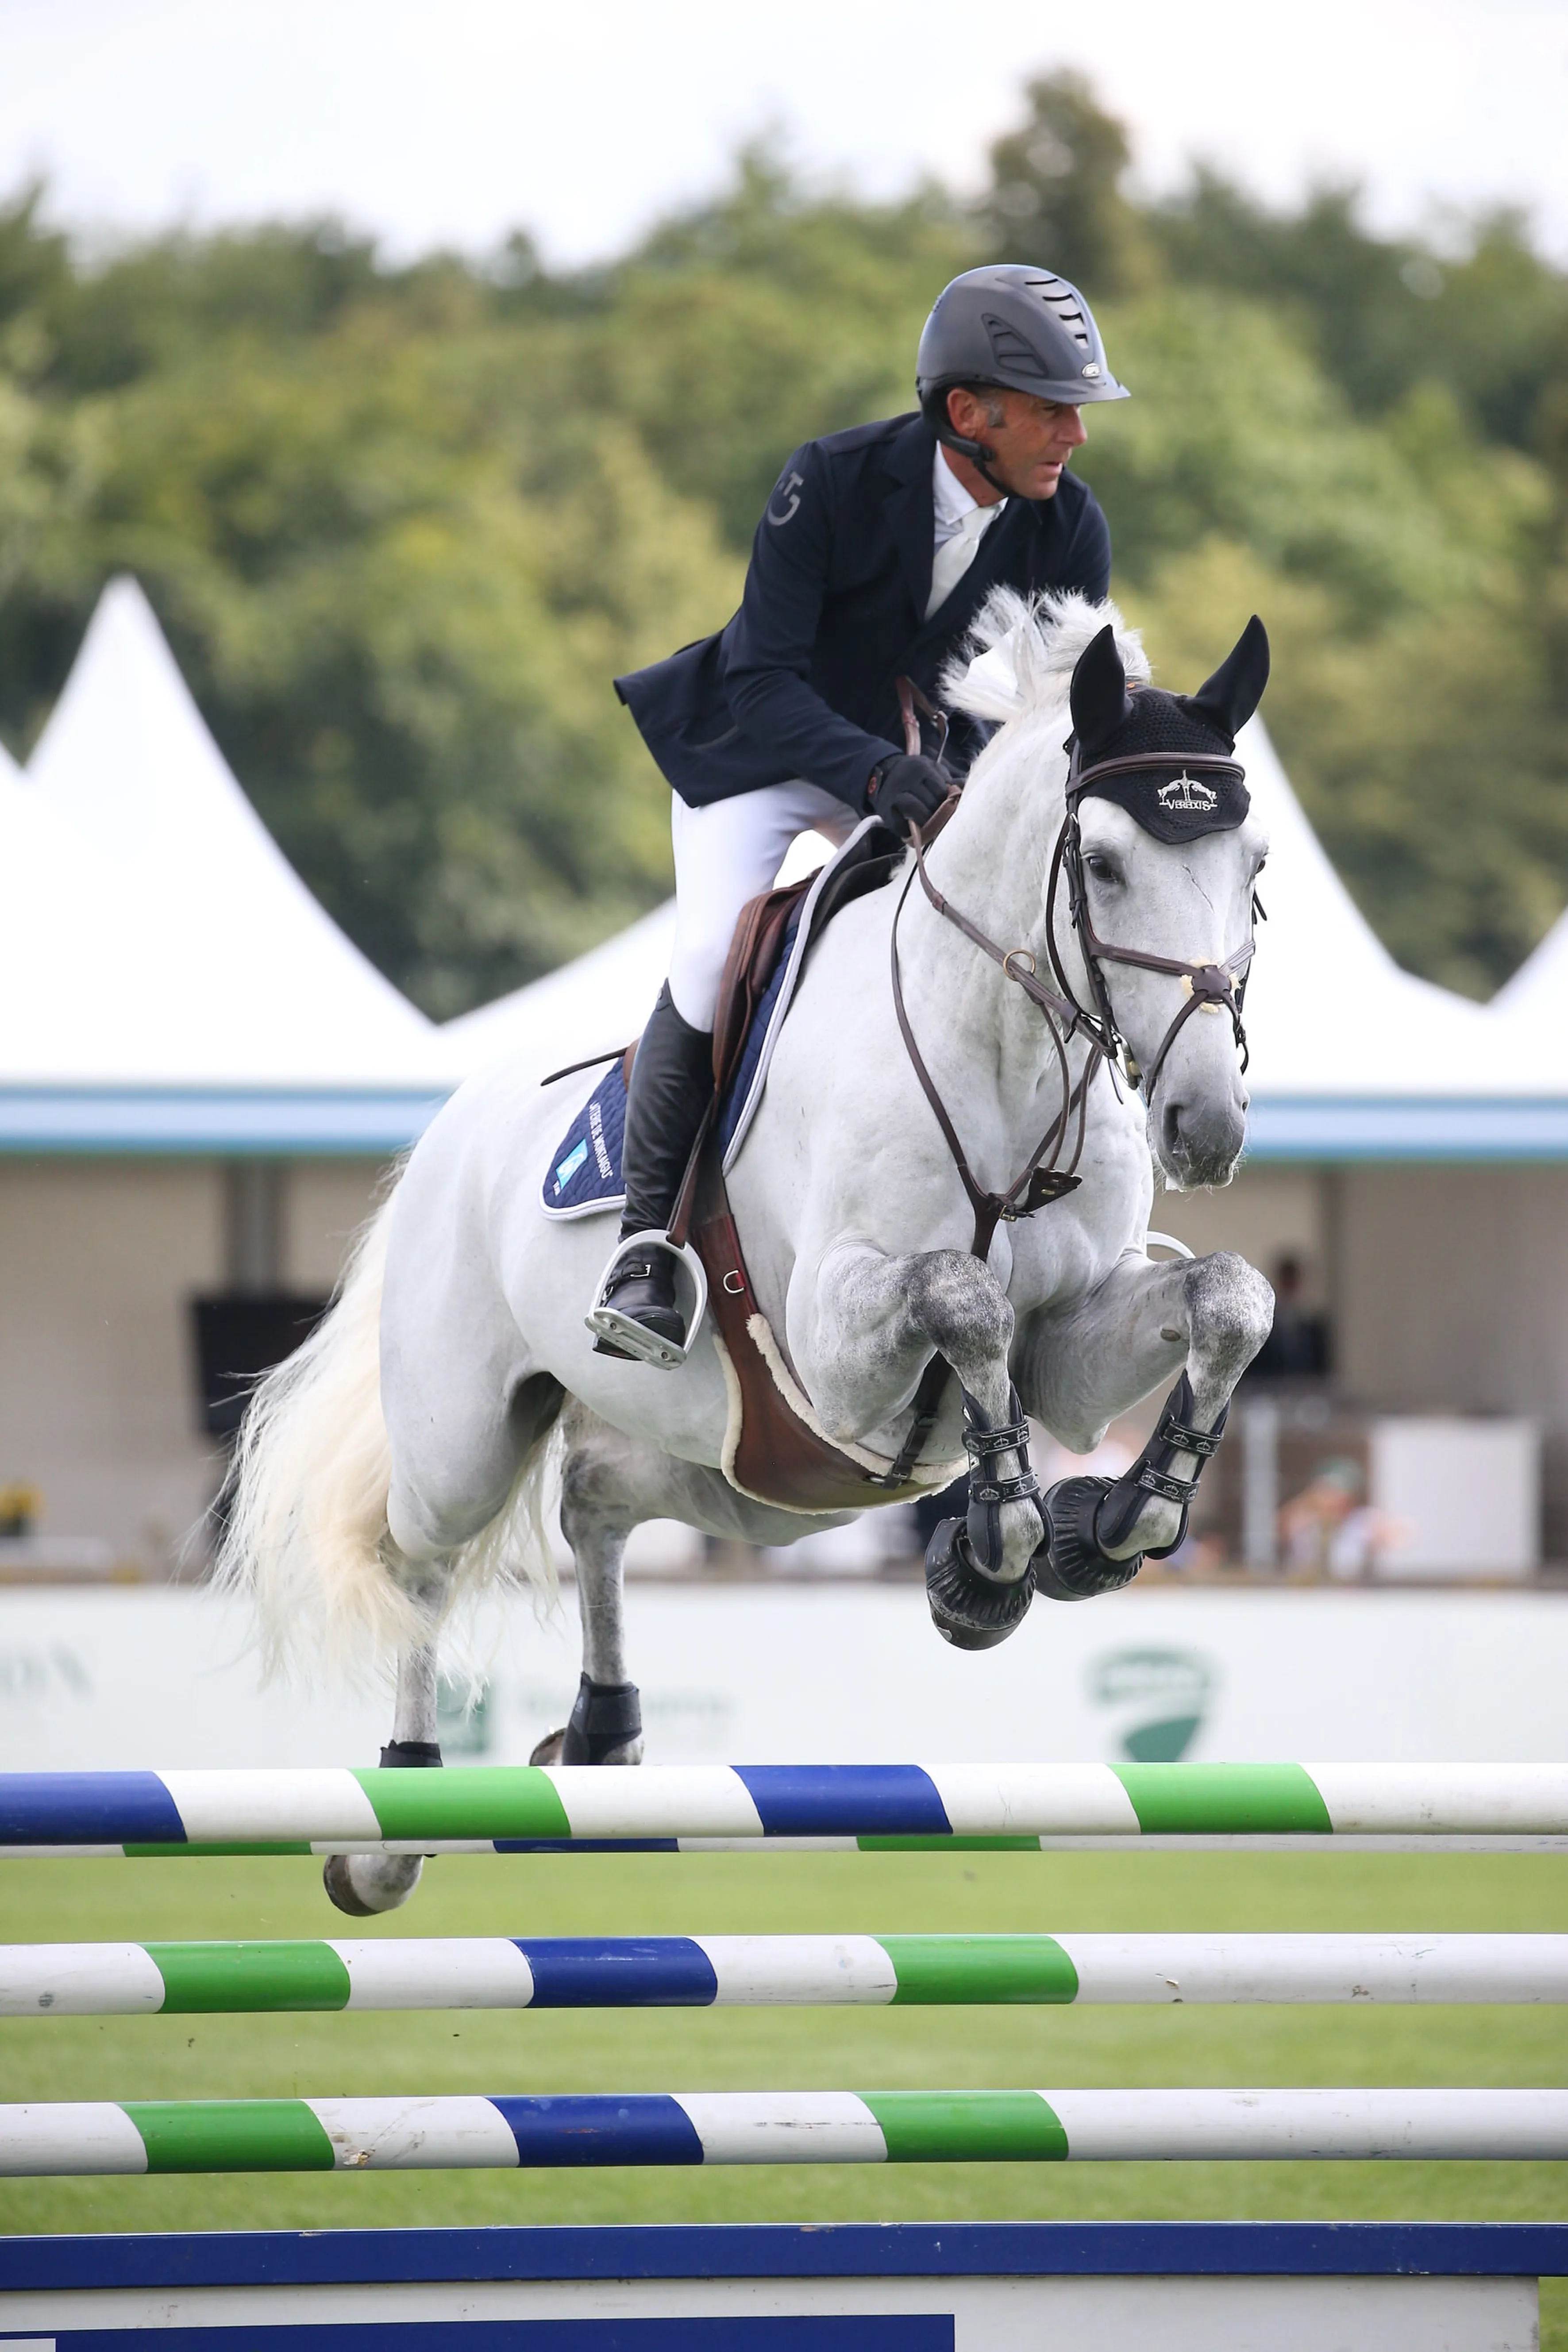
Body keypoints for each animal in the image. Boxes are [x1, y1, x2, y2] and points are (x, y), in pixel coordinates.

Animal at [221, 589, 1275, 1915]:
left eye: (1255, 867)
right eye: (1102, 864)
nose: (1205, 1123)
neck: (1002, 1057)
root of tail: (447, 1131)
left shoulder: (1067, 1349)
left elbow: (1229, 1299)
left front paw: (1118, 1516)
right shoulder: (836, 1339)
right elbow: (961, 1293)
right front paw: (995, 1549)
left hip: (761, 1477)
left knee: (597, 1497)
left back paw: (602, 1736)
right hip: (474, 1433)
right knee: (420, 1565)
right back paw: (390, 1829)